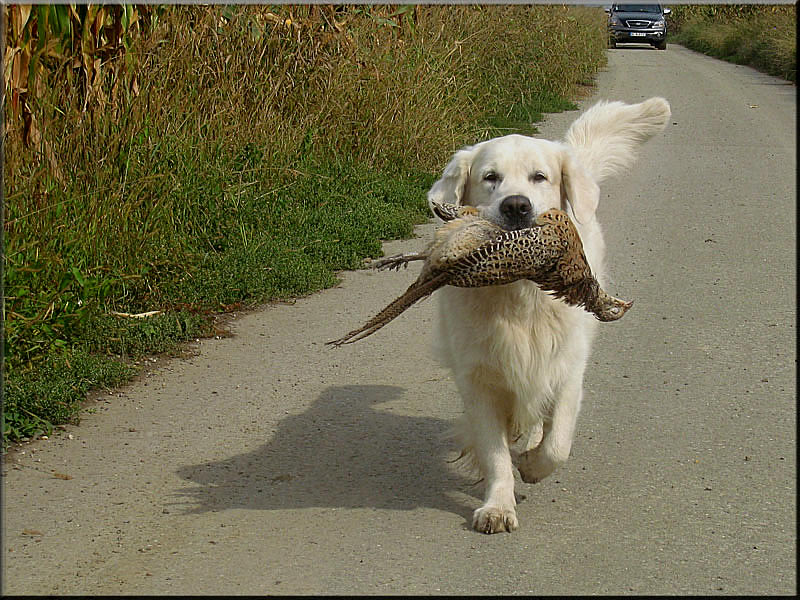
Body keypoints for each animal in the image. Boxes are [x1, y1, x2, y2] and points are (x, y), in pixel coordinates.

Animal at [428, 98, 672, 536]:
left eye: (539, 177)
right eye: (490, 177)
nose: (516, 205)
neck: (519, 293)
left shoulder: (567, 369)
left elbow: (558, 443)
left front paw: (532, 464)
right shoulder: (478, 379)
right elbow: (494, 452)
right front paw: (498, 505)